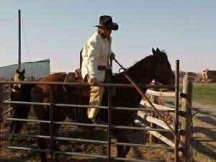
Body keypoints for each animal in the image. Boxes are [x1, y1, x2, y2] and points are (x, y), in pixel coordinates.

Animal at [11, 47, 175, 161]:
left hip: (56, 119)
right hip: (46, 120)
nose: (174, 83)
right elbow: (125, 148)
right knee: (42, 141)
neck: (125, 88)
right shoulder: (115, 127)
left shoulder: (120, 128)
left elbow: (122, 148)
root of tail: (38, 82)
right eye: (165, 66)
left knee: (51, 139)